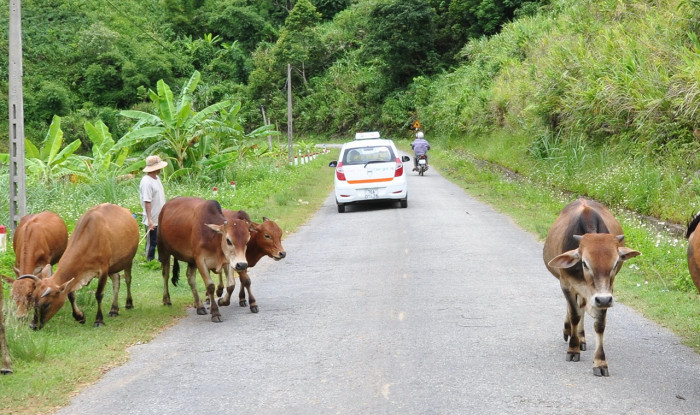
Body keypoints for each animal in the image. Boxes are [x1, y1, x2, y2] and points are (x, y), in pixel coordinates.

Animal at [540, 198, 640, 376]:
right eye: (585, 263)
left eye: (616, 263)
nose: (603, 300)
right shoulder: (566, 285)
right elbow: (574, 315)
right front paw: (573, 349)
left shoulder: (606, 293)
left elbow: (599, 323)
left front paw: (600, 362)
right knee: (574, 309)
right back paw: (569, 331)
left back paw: (581, 337)